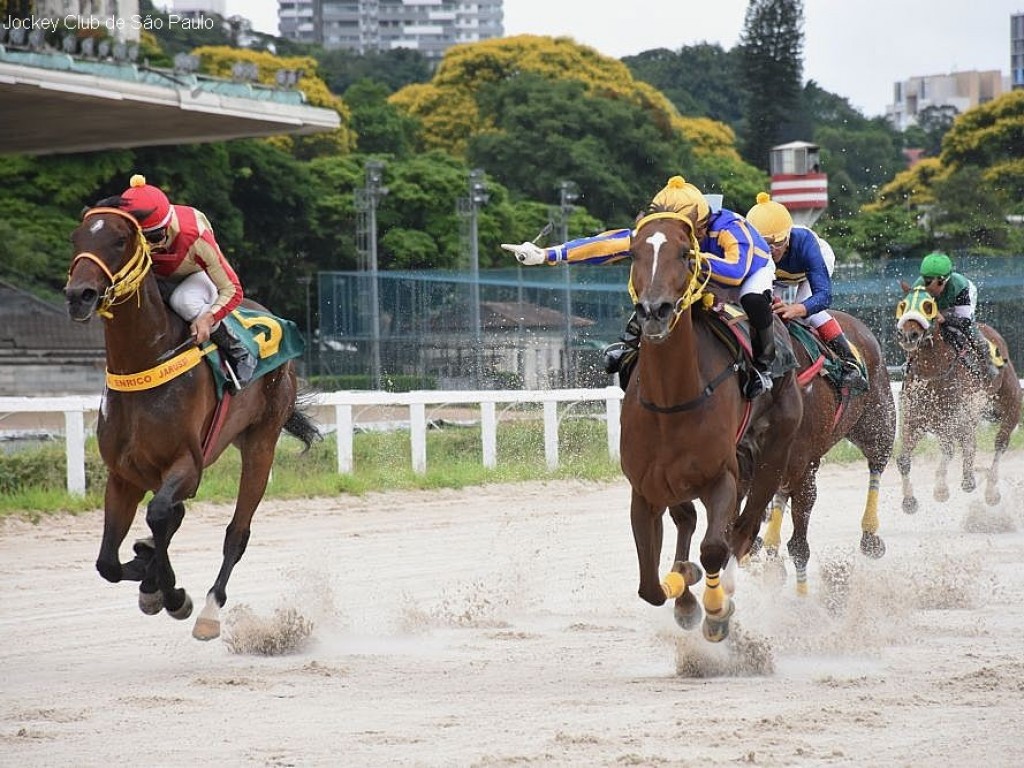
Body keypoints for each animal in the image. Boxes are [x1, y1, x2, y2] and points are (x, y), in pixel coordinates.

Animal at [64, 207, 319, 638]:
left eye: (119, 240)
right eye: (77, 237)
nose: (78, 295)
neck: (143, 363)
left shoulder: (187, 462)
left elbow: (158, 514)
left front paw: (171, 595)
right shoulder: (124, 474)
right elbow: (108, 562)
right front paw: (145, 569)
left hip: (261, 442)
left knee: (236, 532)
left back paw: (209, 610)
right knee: (171, 518)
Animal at [618, 208, 802, 643]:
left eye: (686, 255)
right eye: (633, 253)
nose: (654, 311)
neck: (670, 403)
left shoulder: (722, 478)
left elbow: (716, 547)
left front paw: (716, 610)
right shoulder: (646, 489)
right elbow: (650, 586)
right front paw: (683, 586)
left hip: (773, 453)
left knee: (744, 529)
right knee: (689, 521)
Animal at [892, 286, 1019, 514]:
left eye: (928, 306)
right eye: (903, 304)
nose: (909, 335)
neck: (933, 372)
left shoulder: (961, 414)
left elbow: (967, 447)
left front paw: (965, 481)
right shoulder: (916, 419)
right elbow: (904, 459)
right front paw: (909, 501)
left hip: (1010, 404)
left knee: (999, 445)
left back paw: (989, 490)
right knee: (954, 447)